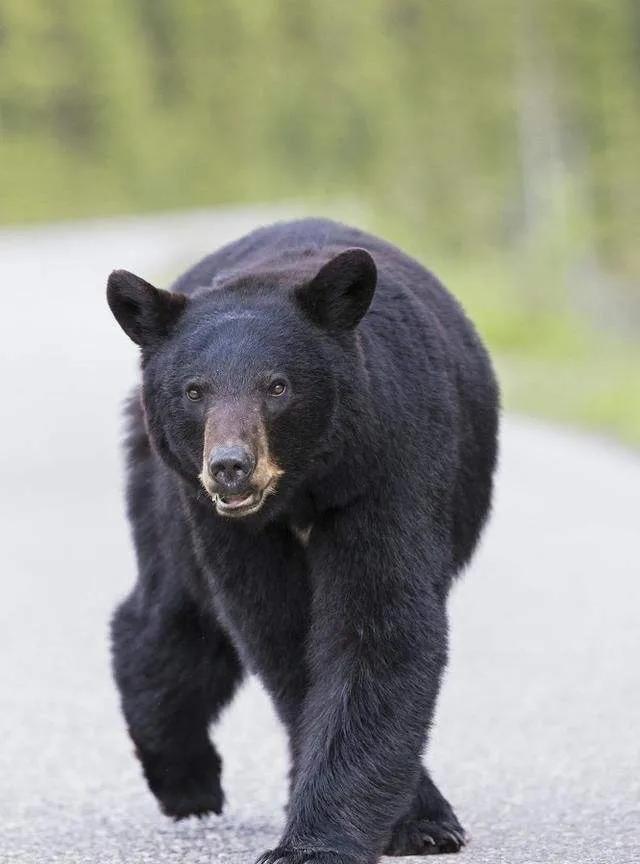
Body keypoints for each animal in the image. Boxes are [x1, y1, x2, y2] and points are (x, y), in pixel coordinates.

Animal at [107, 219, 500, 860]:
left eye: (277, 386)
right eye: (194, 390)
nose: (230, 466)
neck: (303, 489)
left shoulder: (389, 467)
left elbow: (375, 625)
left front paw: (341, 836)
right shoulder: (230, 527)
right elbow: (281, 636)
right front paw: (405, 818)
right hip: (167, 488)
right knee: (177, 616)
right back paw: (186, 780)